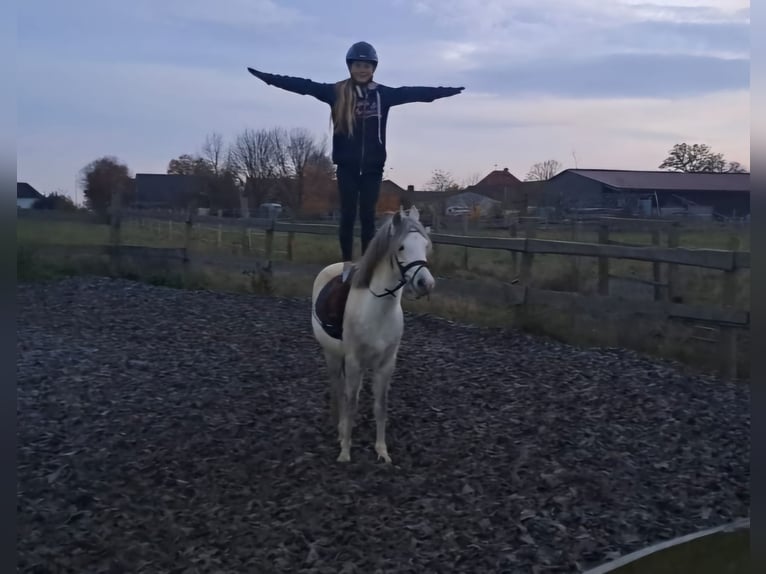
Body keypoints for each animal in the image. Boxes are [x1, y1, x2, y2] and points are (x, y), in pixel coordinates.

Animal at [310, 205, 435, 463]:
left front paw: (382, 451)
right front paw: (345, 451)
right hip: (332, 355)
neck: (378, 308)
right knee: (339, 390)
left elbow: (381, 406)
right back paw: (340, 430)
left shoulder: (386, 364)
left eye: (425, 245)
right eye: (401, 247)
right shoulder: (354, 361)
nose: (426, 284)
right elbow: (351, 403)